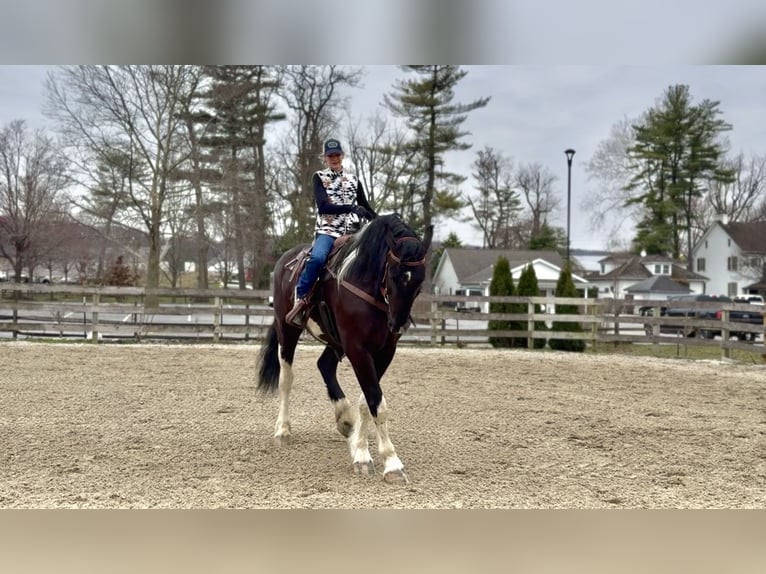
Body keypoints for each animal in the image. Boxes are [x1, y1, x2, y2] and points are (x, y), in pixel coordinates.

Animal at [256, 214, 433, 484]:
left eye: (420, 281)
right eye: (393, 274)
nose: (398, 324)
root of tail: (285, 259)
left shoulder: (384, 351)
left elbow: (367, 401)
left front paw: (359, 449)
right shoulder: (357, 348)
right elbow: (376, 401)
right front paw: (390, 463)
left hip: (335, 341)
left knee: (325, 365)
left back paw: (345, 418)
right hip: (287, 330)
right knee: (286, 379)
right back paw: (283, 430)